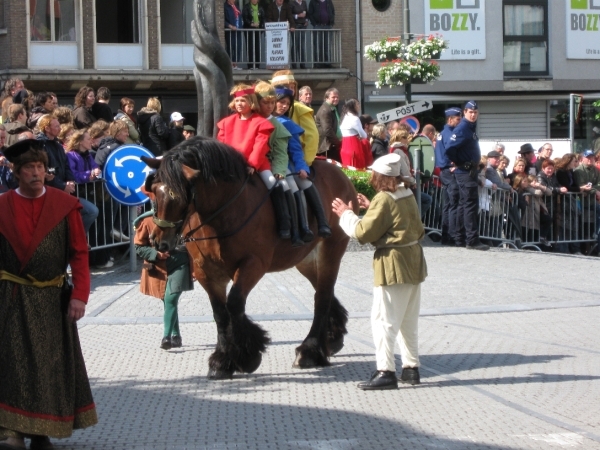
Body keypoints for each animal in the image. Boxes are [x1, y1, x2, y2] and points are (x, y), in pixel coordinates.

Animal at [143, 137, 358, 380]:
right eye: (153, 191)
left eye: (176, 196)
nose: (159, 240)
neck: (224, 211)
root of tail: (340, 174)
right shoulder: (206, 271)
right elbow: (220, 312)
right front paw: (223, 359)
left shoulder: (253, 265)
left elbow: (234, 304)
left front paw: (246, 355)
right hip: (306, 261)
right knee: (325, 292)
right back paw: (332, 337)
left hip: (330, 251)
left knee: (322, 297)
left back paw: (310, 350)